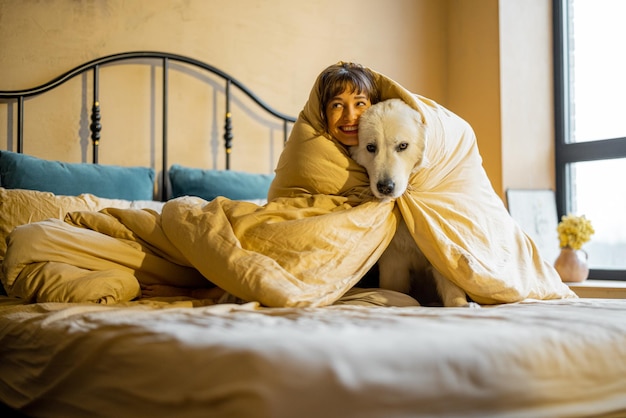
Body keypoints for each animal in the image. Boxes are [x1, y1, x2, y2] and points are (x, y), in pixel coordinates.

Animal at [348, 98, 470, 306]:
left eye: (402, 146)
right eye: (371, 147)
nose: (385, 187)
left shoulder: (441, 252)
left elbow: (453, 291)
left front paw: (462, 306)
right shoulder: (394, 261)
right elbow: (393, 290)